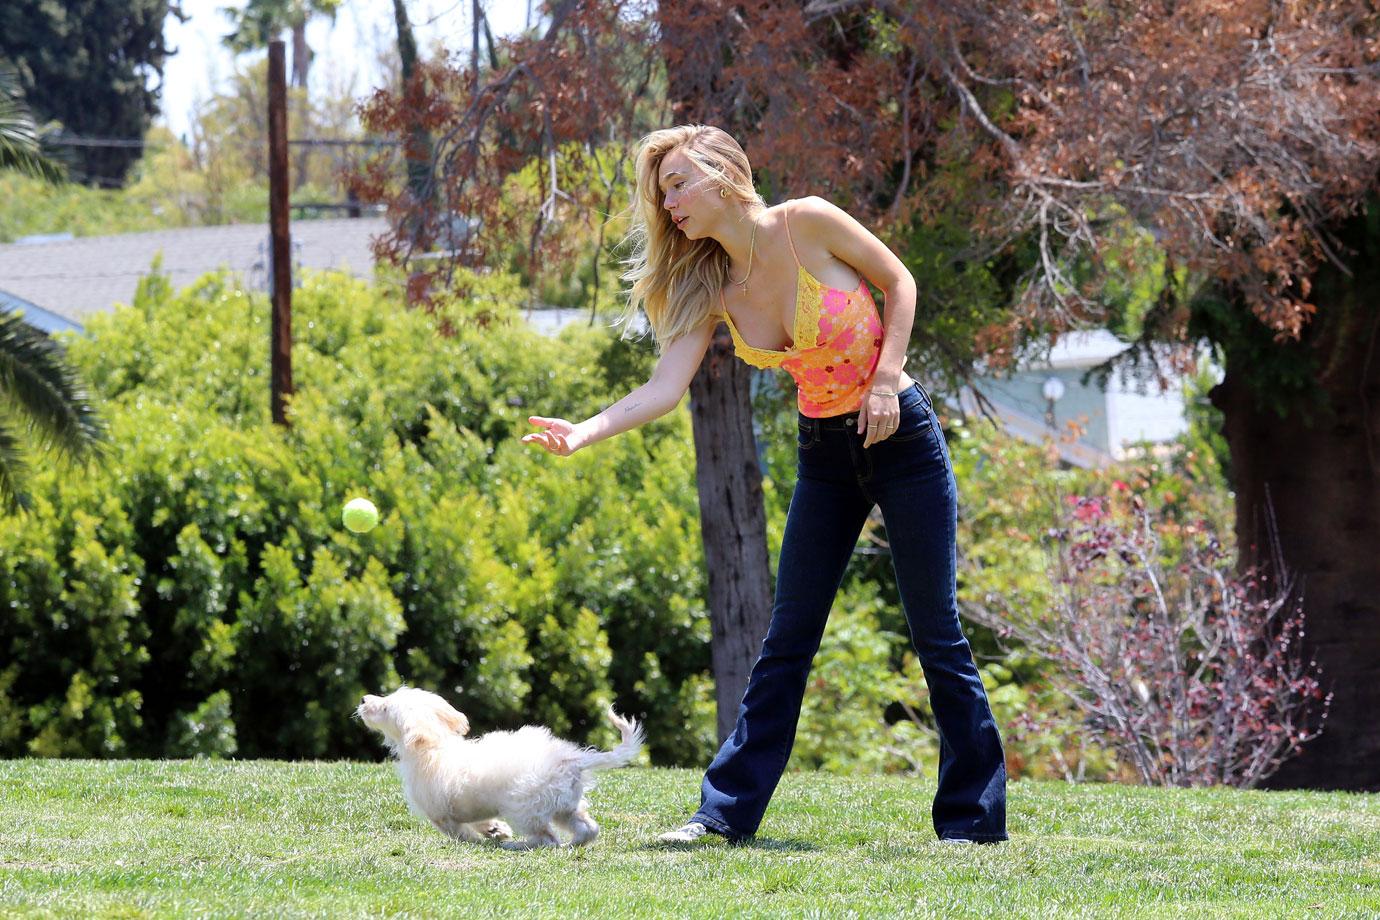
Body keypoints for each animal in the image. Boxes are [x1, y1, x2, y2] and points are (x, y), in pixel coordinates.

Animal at [353, 686, 637, 855]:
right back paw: (570, 845)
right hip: (564, 806)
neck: (436, 744)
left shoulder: (440, 815)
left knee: (547, 839)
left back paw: (515, 845)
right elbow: (482, 821)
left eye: (385, 707)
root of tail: (572, 760)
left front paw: (481, 839)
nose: (364, 698)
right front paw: (495, 830)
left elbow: (459, 833)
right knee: (588, 829)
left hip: (524, 808)